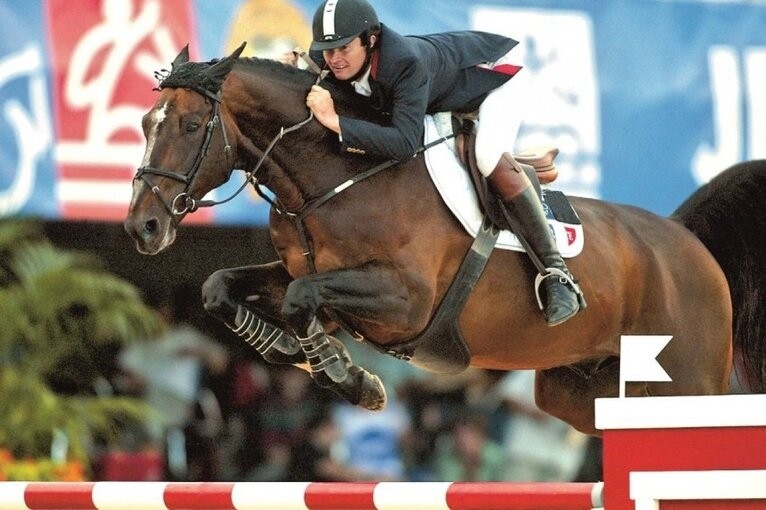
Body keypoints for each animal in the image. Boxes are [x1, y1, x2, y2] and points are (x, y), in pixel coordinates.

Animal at [124, 44, 766, 436]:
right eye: (144, 123)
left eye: (190, 126)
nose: (141, 227)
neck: (336, 175)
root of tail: (686, 240)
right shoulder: (309, 276)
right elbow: (223, 286)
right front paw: (294, 353)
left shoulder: (405, 300)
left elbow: (303, 298)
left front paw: (352, 380)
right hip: (583, 393)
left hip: (683, 385)